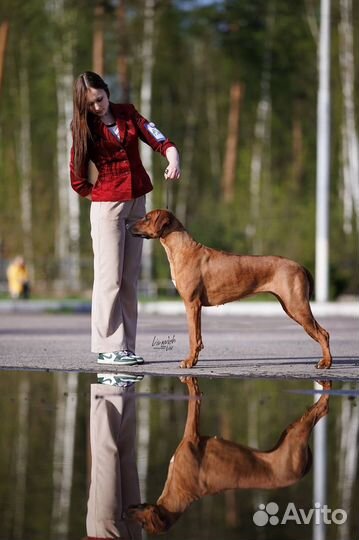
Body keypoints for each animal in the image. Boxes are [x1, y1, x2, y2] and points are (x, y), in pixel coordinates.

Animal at [127, 378, 332, 532]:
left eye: (143, 523)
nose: (125, 513)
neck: (180, 496)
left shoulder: (191, 434)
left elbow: (193, 399)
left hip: (296, 434)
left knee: (322, 410)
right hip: (289, 433)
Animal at [131, 209, 334, 370]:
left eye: (146, 218)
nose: (128, 224)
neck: (183, 249)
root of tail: (300, 266)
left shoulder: (192, 303)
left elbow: (192, 337)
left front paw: (188, 362)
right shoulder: (197, 306)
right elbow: (198, 337)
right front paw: (194, 361)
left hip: (296, 305)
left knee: (323, 333)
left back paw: (326, 363)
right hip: (290, 306)